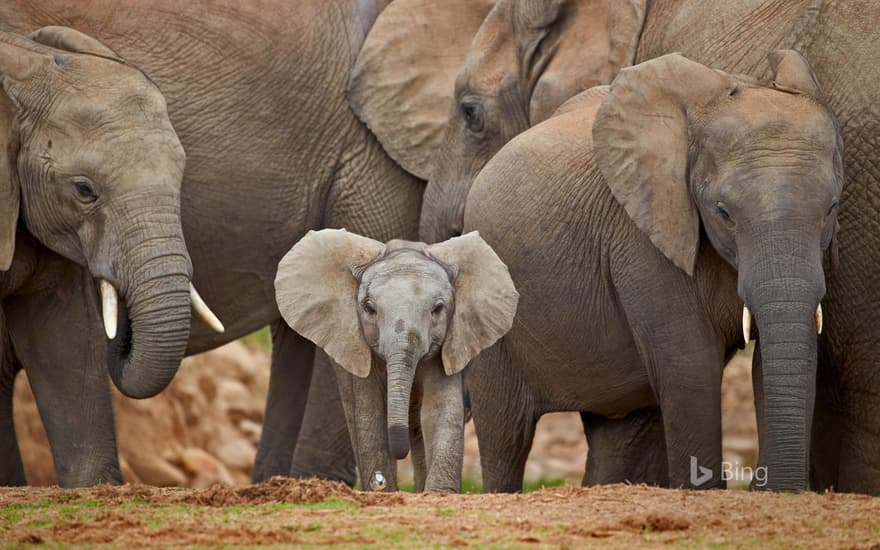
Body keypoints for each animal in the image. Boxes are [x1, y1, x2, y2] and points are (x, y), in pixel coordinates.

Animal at [276, 231, 516, 494]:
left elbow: (439, 410)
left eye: (438, 309)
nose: (378, 480)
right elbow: (371, 413)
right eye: (369, 308)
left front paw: (438, 494)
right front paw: (384, 490)